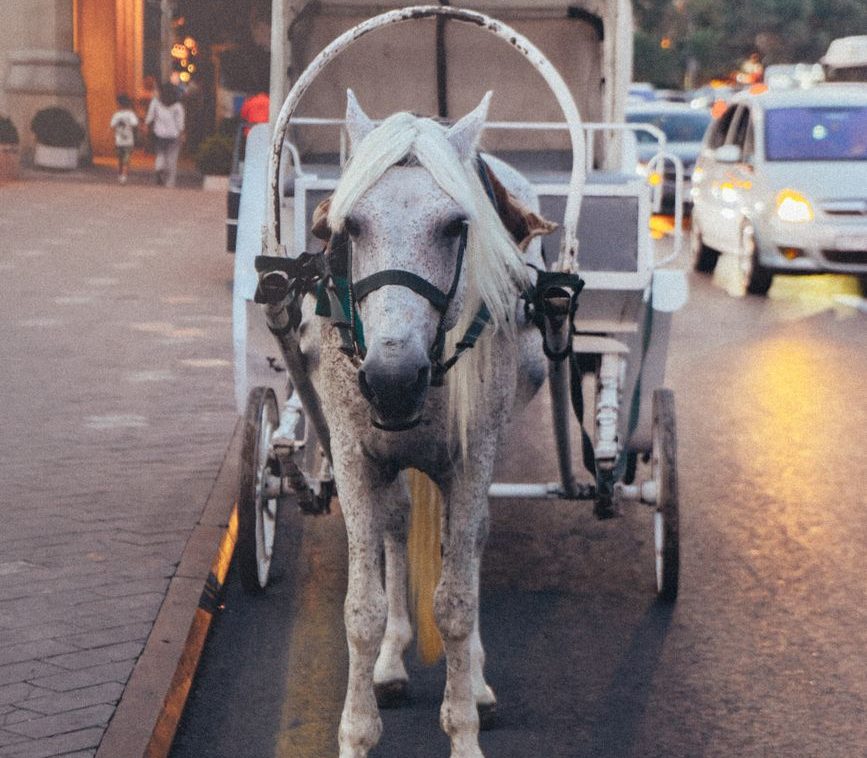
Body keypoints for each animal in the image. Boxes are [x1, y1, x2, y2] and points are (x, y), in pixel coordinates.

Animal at [295, 90, 555, 758]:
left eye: (455, 227)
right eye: (350, 227)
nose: (392, 376)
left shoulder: (470, 458)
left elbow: (457, 603)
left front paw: (463, 728)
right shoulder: (354, 457)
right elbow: (361, 609)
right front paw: (357, 733)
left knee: (474, 539)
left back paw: (477, 683)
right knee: (395, 525)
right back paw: (390, 664)